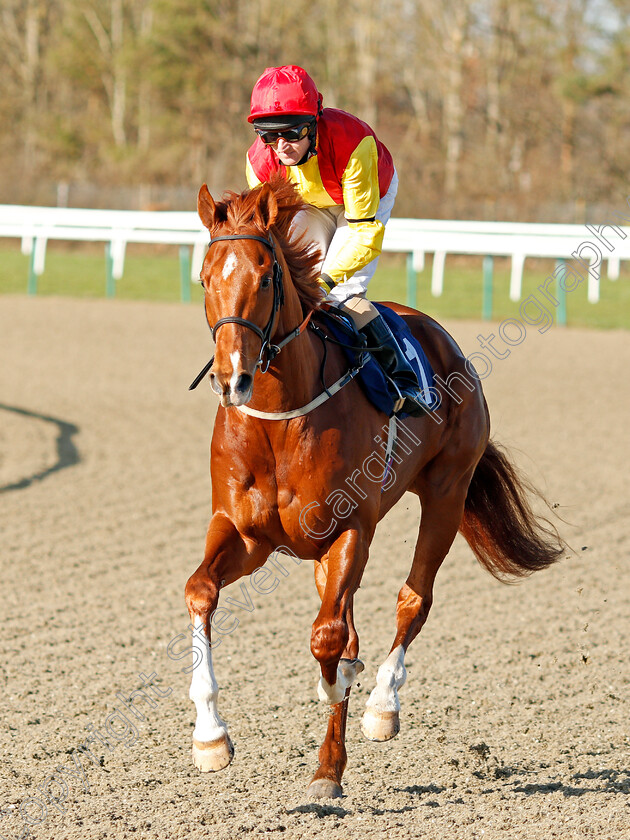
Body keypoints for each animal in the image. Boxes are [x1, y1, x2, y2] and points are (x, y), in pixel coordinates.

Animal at [185, 174, 564, 796]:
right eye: (204, 277)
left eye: (264, 278)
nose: (231, 379)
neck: (280, 420)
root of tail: (443, 338)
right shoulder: (245, 533)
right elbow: (202, 592)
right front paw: (211, 737)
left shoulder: (350, 529)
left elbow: (328, 639)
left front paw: (336, 722)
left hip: (446, 493)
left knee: (413, 600)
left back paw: (380, 708)